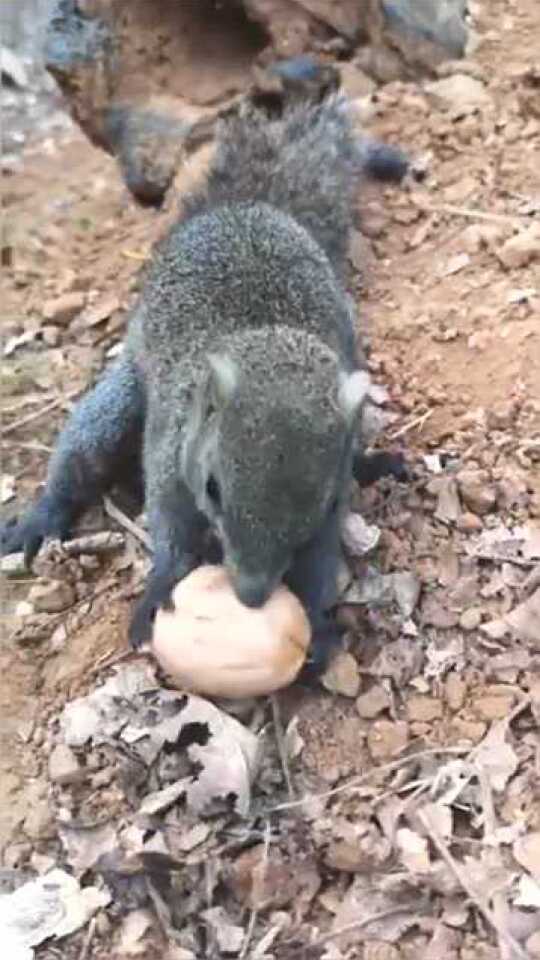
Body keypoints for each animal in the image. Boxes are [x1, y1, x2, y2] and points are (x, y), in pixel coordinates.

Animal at [2, 62, 410, 676]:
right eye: (214, 488)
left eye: (317, 501)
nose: (252, 595)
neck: (262, 337)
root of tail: (246, 207)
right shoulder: (169, 455)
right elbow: (168, 525)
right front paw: (163, 583)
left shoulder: (331, 500)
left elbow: (320, 558)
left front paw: (316, 622)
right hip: (119, 398)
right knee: (82, 449)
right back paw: (42, 517)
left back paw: (375, 463)